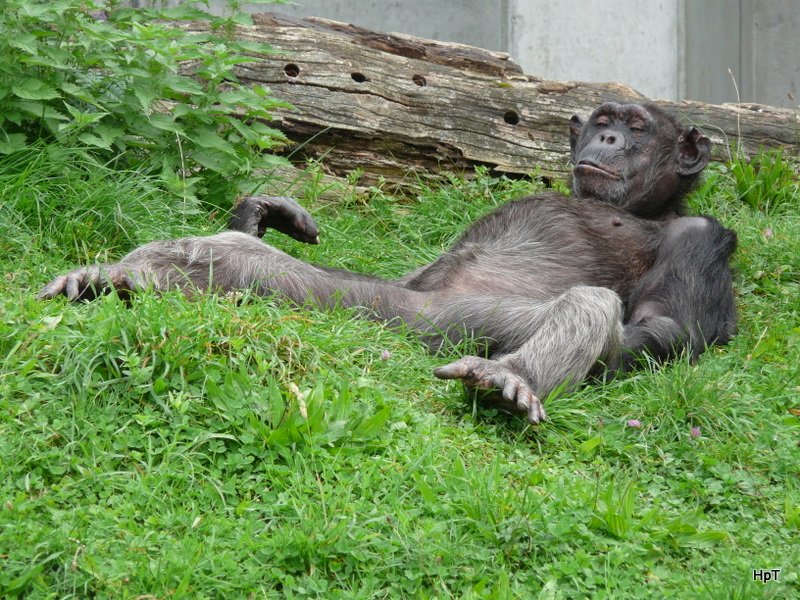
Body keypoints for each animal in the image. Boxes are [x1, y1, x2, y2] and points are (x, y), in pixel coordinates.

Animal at [37, 102, 736, 422]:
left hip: (458, 325)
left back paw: (509, 380)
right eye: (602, 120)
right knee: (231, 256)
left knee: (589, 305)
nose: (608, 136)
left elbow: (667, 327)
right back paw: (109, 278)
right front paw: (261, 210)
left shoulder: (704, 239)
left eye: (638, 128)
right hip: (342, 298)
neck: (651, 207)